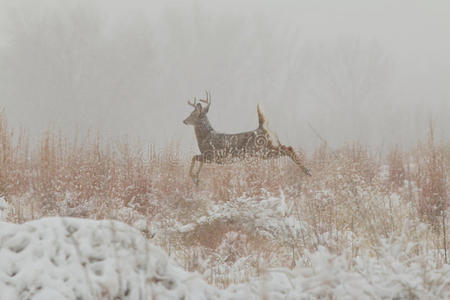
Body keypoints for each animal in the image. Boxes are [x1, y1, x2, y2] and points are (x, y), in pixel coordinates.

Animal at [181, 91, 312, 185]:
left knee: (287, 148)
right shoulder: (210, 157)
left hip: (261, 150)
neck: (206, 137)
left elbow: (194, 157)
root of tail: (261, 128)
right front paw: (197, 179)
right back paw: (307, 171)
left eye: (192, 114)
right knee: (287, 147)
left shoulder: (212, 155)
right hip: (266, 149)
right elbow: (199, 161)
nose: (184, 121)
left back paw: (307, 171)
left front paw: (194, 178)